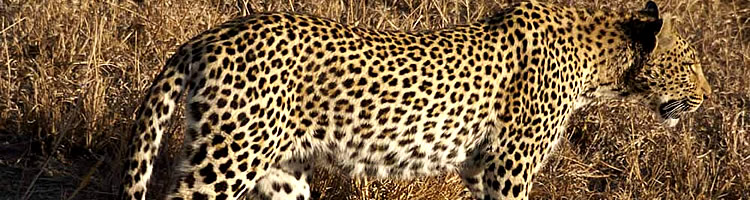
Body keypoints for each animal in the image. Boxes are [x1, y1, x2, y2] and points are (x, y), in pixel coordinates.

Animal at [117, 0, 712, 199]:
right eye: (690, 65)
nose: (708, 98)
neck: (601, 65)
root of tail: (207, 37)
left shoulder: (479, 168)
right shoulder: (509, 169)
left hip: (277, 172)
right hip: (226, 162)